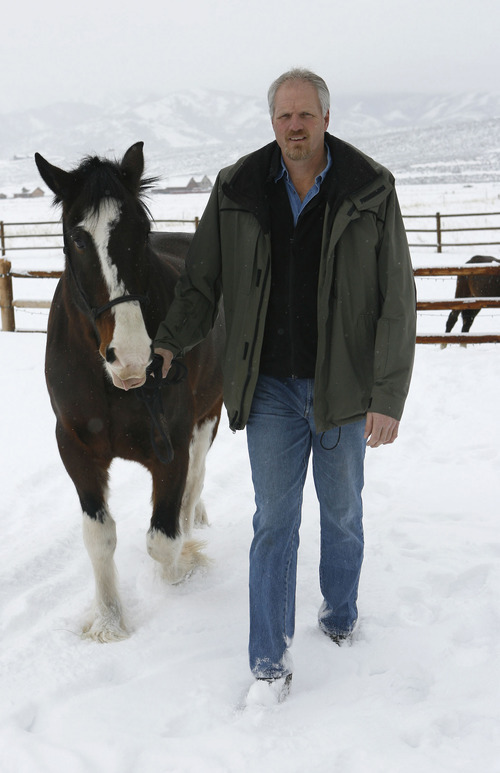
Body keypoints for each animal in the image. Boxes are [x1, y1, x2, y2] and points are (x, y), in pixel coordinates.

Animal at [33, 142, 225, 644]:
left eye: (142, 230)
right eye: (78, 237)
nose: (135, 358)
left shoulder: (171, 445)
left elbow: (163, 541)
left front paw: (186, 566)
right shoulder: (76, 449)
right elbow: (99, 538)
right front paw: (108, 621)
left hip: (209, 415)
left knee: (195, 482)